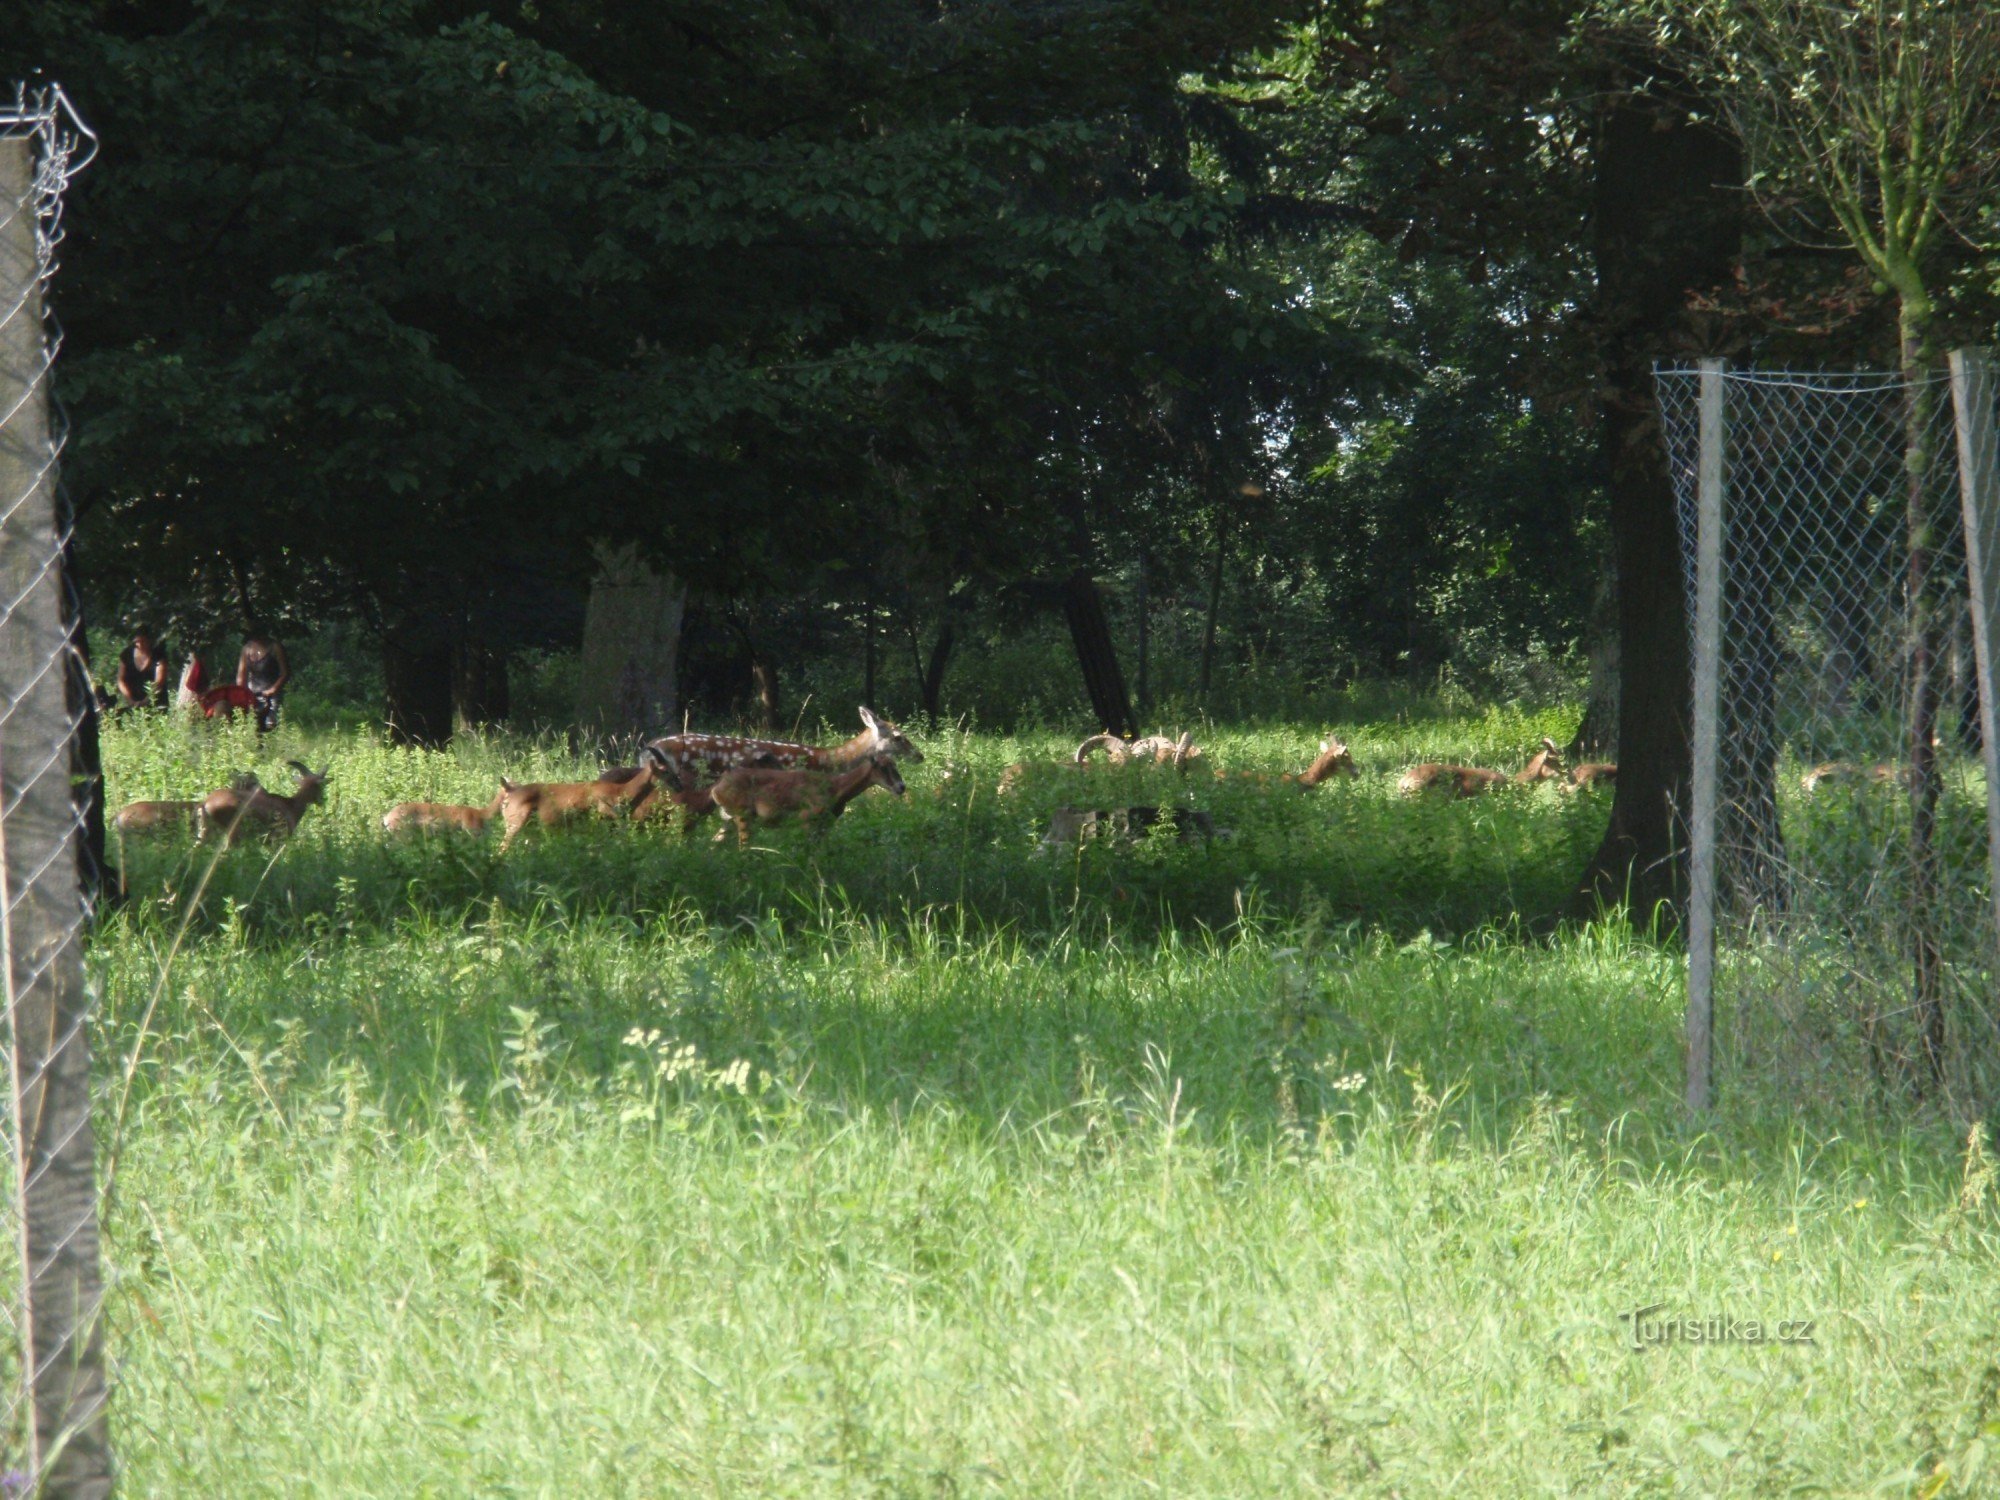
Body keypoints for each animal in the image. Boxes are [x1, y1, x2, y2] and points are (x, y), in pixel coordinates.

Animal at [201, 764, 330, 848]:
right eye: (321, 786)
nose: (322, 800)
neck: (290, 805)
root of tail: (206, 804)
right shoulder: (277, 839)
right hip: (233, 833)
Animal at [496, 748, 668, 852]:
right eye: (664, 770)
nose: (675, 783)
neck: (621, 792)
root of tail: (509, 793)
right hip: (515, 824)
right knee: (503, 847)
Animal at [712, 752, 908, 848]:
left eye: (895, 765)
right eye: (882, 767)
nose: (901, 786)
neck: (836, 789)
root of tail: (716, 789)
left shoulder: (826, 823)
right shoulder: (807, 817)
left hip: (729, 819)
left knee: (715, 842)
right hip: (743, 814)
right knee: (743, 847)